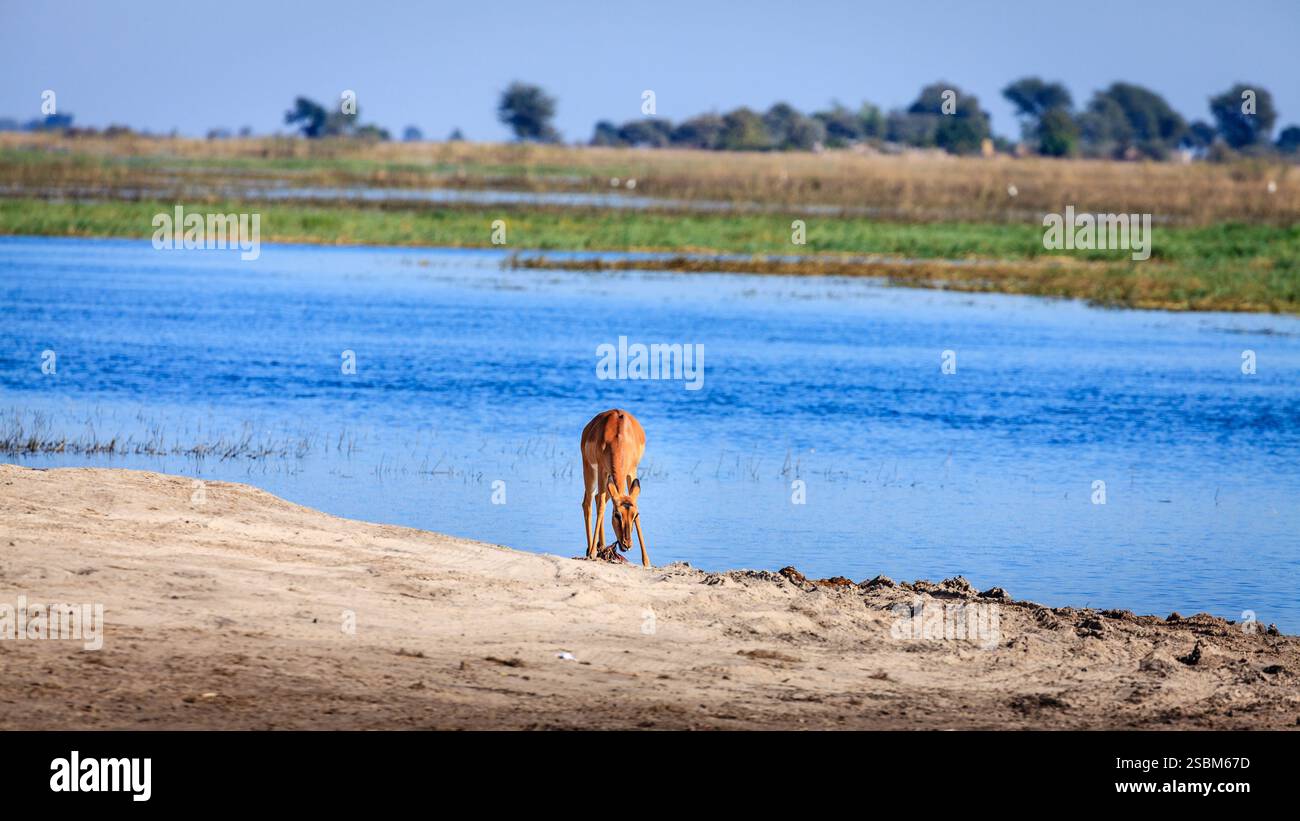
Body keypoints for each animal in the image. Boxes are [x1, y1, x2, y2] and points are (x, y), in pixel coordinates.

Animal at [580, 409, 649, 567]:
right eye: (617, 515)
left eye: (635, 515)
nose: (627, 545)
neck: (619, 439)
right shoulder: (602, 470)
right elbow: (600, 508)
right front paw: (593, 552)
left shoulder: (632, 471)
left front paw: (646, 561)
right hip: (589, 470)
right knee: (588, 502)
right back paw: (590, 549)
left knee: (597, 498)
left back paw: (602, 547)